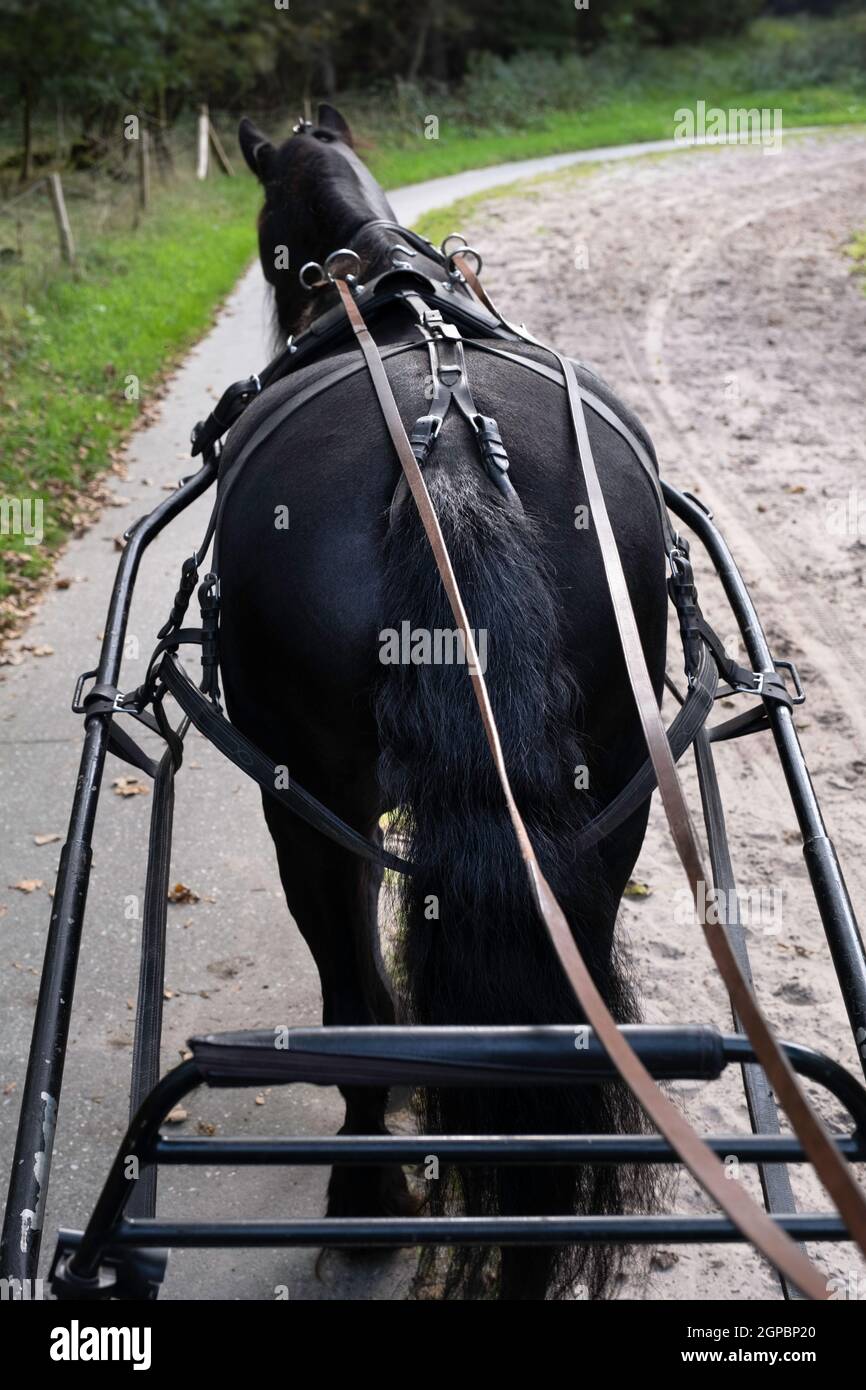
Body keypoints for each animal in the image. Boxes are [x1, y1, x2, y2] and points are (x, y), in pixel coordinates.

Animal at [217, 102, 668, 1300]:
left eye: (265, 236)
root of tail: (449, 442)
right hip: (612, 787)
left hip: (304, 800)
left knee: (356, 1007)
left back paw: (368, 1198)